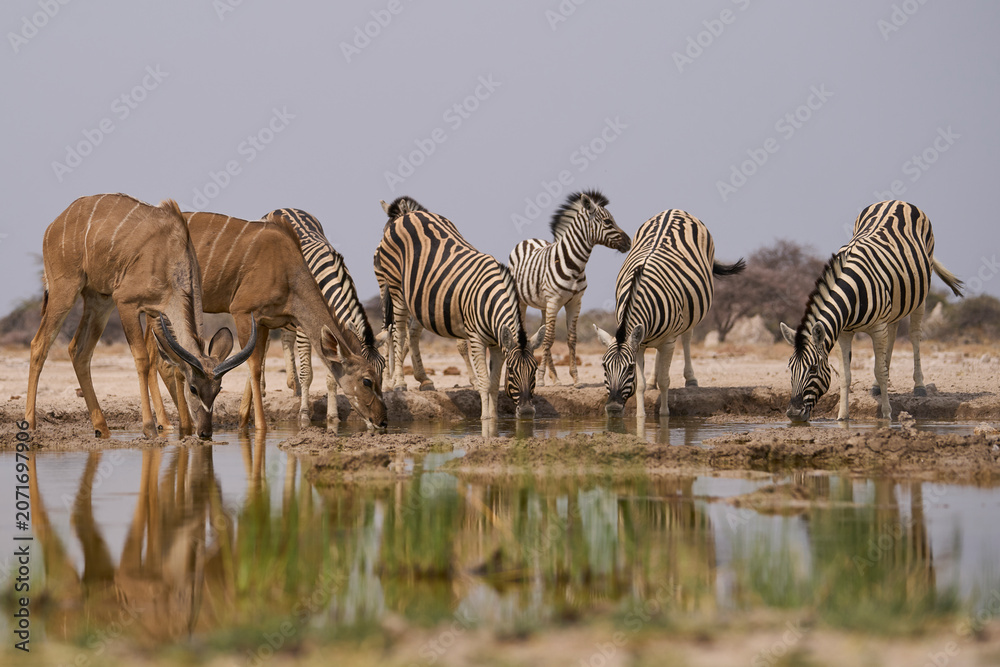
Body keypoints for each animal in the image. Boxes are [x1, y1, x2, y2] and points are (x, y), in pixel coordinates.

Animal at [268, 208, 386, 427]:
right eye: (366, 380)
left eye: (382, 370)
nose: (377, 421)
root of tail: (283, 208)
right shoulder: (304, 327)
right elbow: (307, 373)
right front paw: (304, 416)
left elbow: (332, 376)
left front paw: (332, 418)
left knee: (285, 337)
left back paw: (294, 385)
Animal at [374, 196, 545, 421]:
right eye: (512, 371)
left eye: (534, 370)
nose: (526, 412)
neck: (489, 300)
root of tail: (408, 214)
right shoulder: (477, 339)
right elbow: (484, 382)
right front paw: (485, 419)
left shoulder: (497, 343)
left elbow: (493, 384)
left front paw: (494, 418)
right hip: (395, 289)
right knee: (398, 332)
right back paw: (399, 384)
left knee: (408, 333)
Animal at [508, 190, 631, 387]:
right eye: (607, 222)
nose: (629, 242)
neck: (574, 264)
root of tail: (529, 240)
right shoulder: (554, 301)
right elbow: (549, 338)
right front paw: (540, 378)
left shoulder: (575, 302)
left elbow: (571, 339)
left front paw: (576, 379)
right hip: (523, 302)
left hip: (544, 306)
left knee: (543, 330)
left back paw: (556, 378)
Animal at [594, 210, 745, 418]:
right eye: (604, 366)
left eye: (629, 367)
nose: (613, 409)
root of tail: (674, 210)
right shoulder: (638, 345)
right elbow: (640, 385)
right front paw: (641, 416)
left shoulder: (668, 340)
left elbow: (665, 381)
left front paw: (664, 415)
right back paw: (653, 381)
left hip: (688, 317)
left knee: (687, 337)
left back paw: (691, 380)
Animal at [779, 200, 964, 423]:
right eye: (790, 368)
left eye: (813, 369)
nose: (793, 414)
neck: (852, 295)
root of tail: (897, 201)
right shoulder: (843, 333)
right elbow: (846, 375)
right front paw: (842, 417)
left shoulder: (877, 327)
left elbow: (879, 370)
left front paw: (887, 415)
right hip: (895, 306)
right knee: (892, 335)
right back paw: (876, 387)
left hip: (920, 295)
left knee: (914, 336)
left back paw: (919, 386)